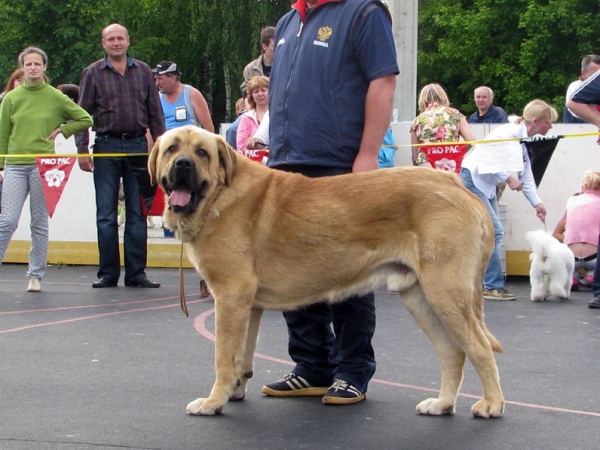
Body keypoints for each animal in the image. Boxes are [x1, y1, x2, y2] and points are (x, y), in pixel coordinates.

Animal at [148, 125, 504, 418]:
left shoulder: (230, 296)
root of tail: (458, 186)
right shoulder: (248, 305)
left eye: (202, 153)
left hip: (446, 292)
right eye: (171, 149)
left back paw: (492, 404)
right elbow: (241, 355)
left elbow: (223, 356)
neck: (218, 195)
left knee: (479, 347)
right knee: (453, 352)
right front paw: (234, 390)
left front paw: (213, 402)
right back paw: (442, 404)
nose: (183, 165)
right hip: (420, 297)